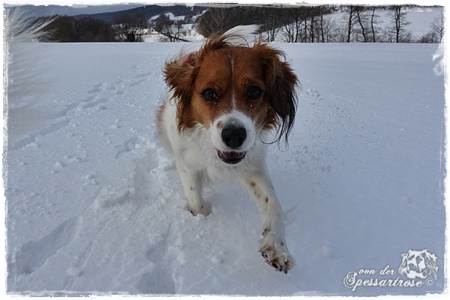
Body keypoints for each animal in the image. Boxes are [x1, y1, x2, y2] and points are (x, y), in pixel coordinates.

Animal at [158, 26, 298, 274]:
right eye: (208, 93)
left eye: (254, 91)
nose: (234, 135)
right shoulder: (187, 164)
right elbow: (195, 196)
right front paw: (201, 217)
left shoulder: (252, 167)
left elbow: (273, 204)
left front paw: (276, 246)